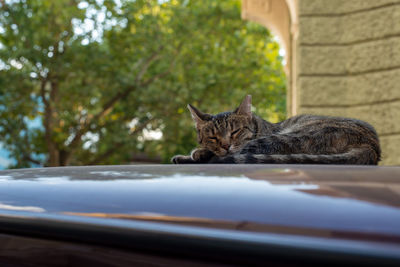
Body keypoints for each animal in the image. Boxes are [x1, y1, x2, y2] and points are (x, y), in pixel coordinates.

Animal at [170, 95, 382, 164]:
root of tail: (372, 145)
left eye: (235, 132)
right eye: (213, 137)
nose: (225, 145)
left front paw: (196, 153)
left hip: (289, 137)